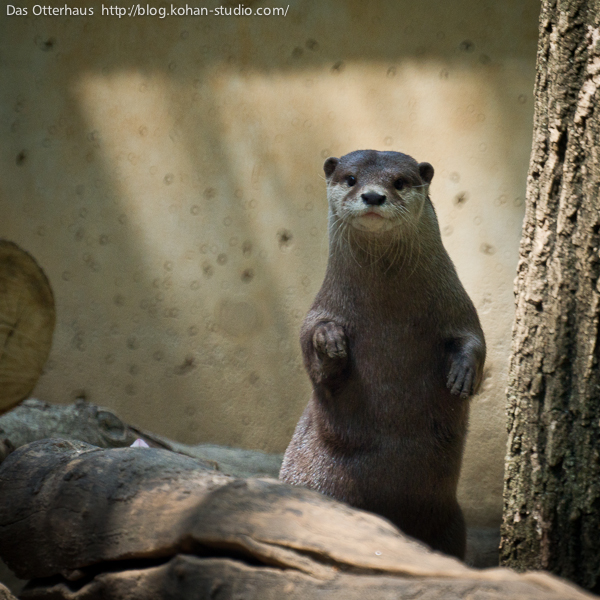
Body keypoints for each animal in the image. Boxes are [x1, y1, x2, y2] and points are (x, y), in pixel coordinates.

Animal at [279, 150, 485, 559]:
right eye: (351, 178)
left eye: (399, 182)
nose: (373, 196)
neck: (389, 316)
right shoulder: (322, 306)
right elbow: (311, 350)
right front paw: (330, 342)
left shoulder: (457, 305)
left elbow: (474, 339)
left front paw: (462, 375)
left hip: (452, 523)